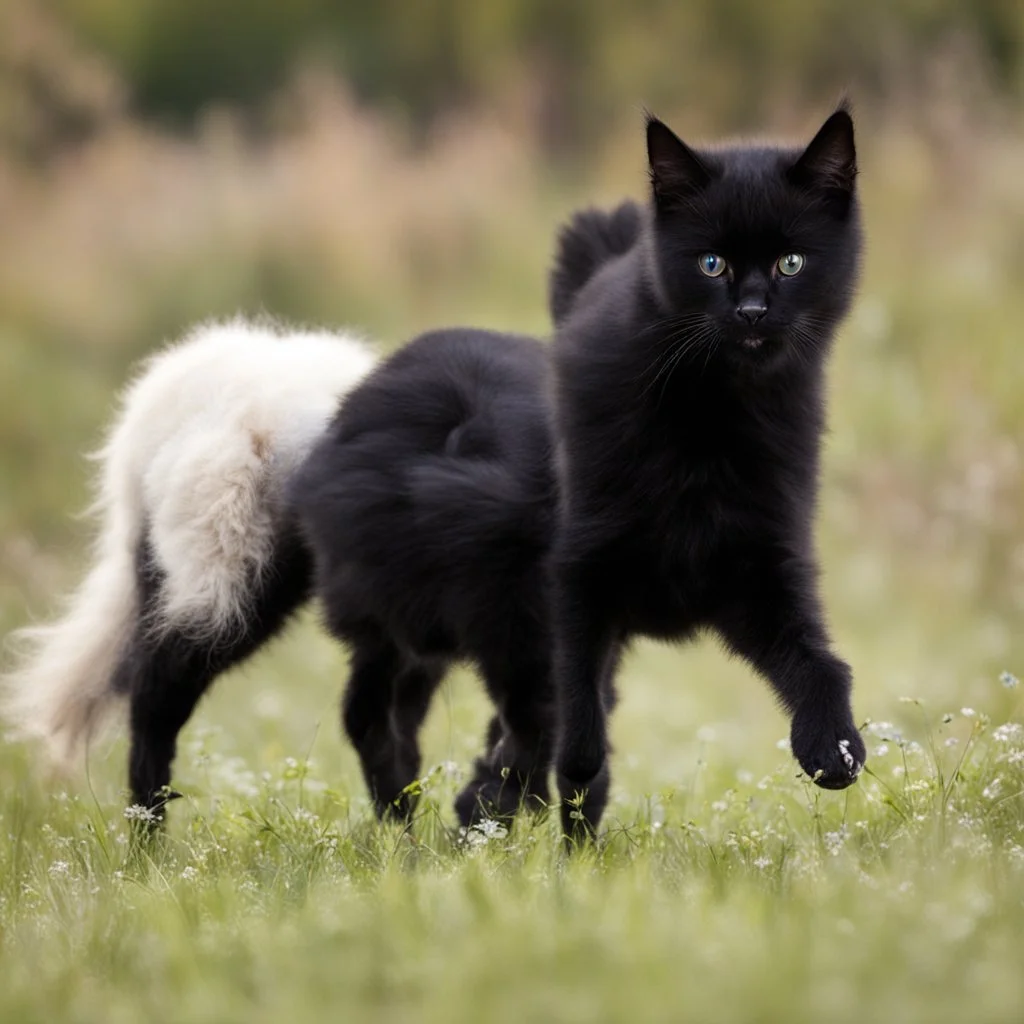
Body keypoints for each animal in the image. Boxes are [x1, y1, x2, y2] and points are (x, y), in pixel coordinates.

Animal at [548, 105, 868, 839]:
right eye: (712, 263)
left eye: (790, 261)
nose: (751, 309)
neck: (713, 411)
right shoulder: (584, 560)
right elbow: (578, 691)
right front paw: (580, 774)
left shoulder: (760, 568)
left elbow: (818, 661)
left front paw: (831, 746)